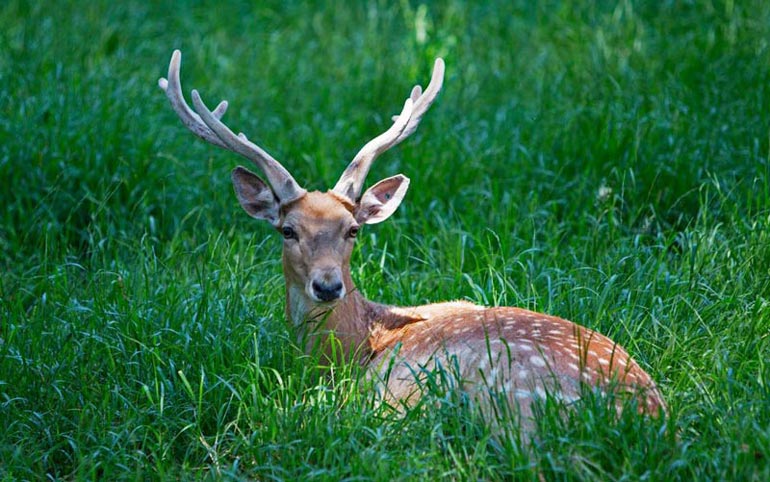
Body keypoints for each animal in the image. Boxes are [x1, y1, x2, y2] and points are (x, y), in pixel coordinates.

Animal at [159, 50, 664, 434]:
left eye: (353, 229)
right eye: (288, 230)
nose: (328, 286)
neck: (357, 346)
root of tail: (647, 418)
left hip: (497, 393)